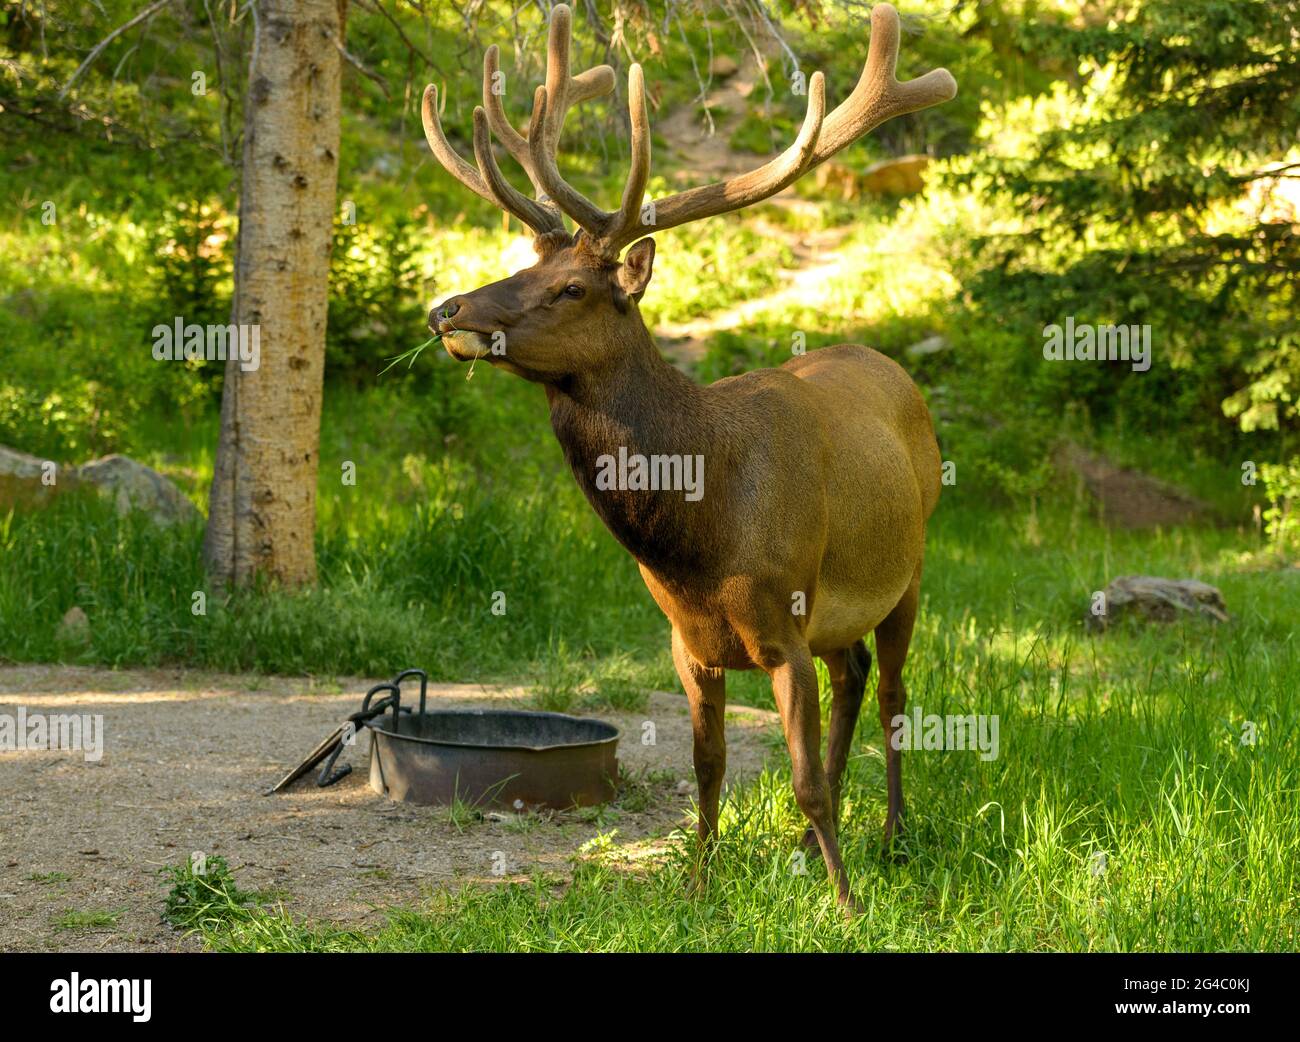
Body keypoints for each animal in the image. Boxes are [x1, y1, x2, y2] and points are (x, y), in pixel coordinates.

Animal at [421, 3, 955, 912]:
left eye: (572, 288)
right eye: (522, 263)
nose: (446, 309)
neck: (701, 532)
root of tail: (888, 365)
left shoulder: (784, 623)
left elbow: (800, 779)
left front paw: (846, 904)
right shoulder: (687, 641)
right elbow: (707, 770)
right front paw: (700, 888)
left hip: (909, 569)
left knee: (891, 695)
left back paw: (890, 836)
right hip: (842, 612)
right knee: (852, 678)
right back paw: (817, 848)